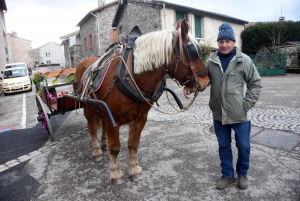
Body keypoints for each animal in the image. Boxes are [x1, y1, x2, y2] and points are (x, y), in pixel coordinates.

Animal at [76, 19, 210, 185]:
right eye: (192, 53)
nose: (206, 82)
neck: (132, 74)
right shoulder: (112, 117)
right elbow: (115, 148)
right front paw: (116, 174)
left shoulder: (140, 118)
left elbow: (133, 145)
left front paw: (134, 170)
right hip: (88, 108)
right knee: (92, 128)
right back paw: (96, 151)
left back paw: (103, 143)